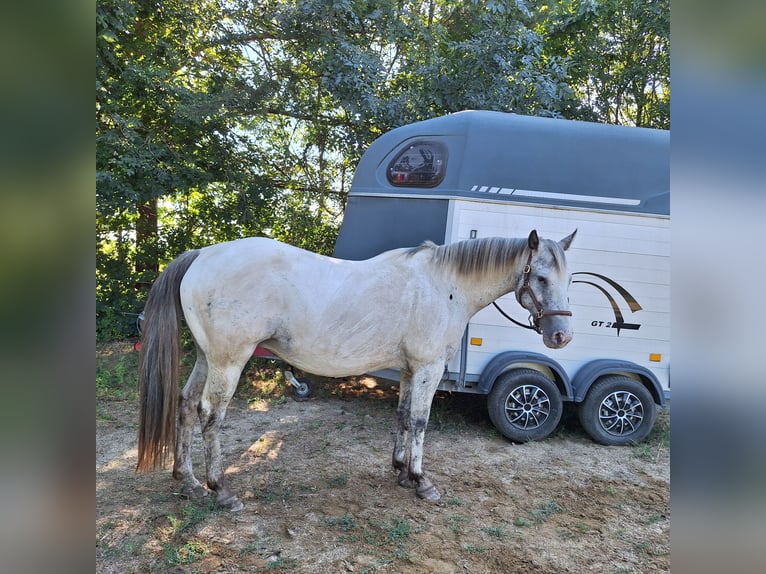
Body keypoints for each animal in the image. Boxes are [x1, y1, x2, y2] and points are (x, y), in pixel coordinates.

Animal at [136, 230, 576, 512]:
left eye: (568, 277)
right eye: (539, 277)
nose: (561, 336)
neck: (443, 286)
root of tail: (203, 255)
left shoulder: (409, 370)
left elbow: (403, 417)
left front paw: (401, 472)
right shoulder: (428, 368)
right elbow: (420, 422)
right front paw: (422, 482)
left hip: (207, 357)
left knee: (185, 406)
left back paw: (189, 482)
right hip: (229, 361)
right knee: (210, 416)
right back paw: (222, 490)